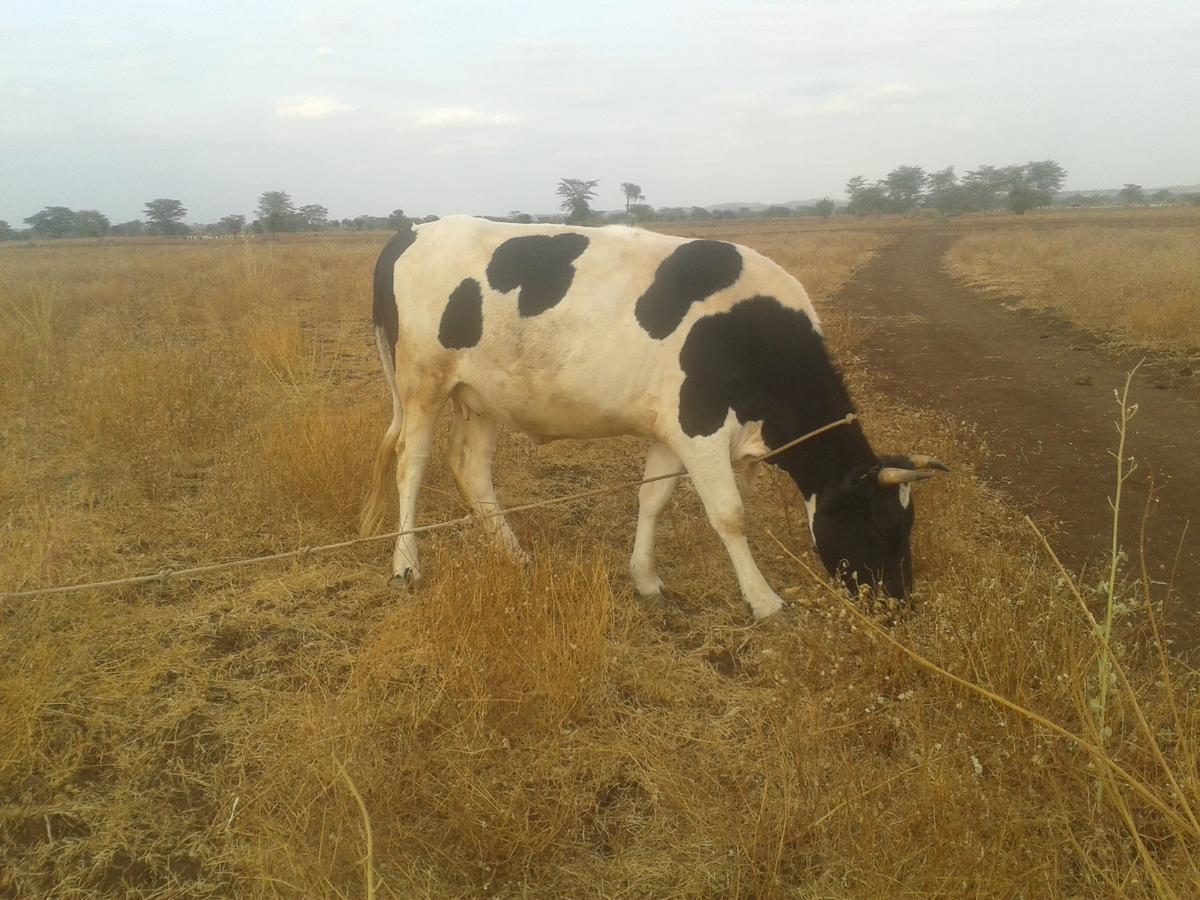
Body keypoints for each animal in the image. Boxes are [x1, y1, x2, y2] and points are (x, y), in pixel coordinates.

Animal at [357, 218, 945, 619]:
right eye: (882, 524)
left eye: (909, 523)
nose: (899, 604)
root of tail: (414, 230)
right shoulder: (699, 425)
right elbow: (729, 514)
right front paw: (764, 600)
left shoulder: (671, 427)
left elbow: (653, 498)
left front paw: (645, 578)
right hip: (421, 383)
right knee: (411, 464)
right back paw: (405, 565)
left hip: (481, 396)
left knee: (470, 466)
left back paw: (515, 553)